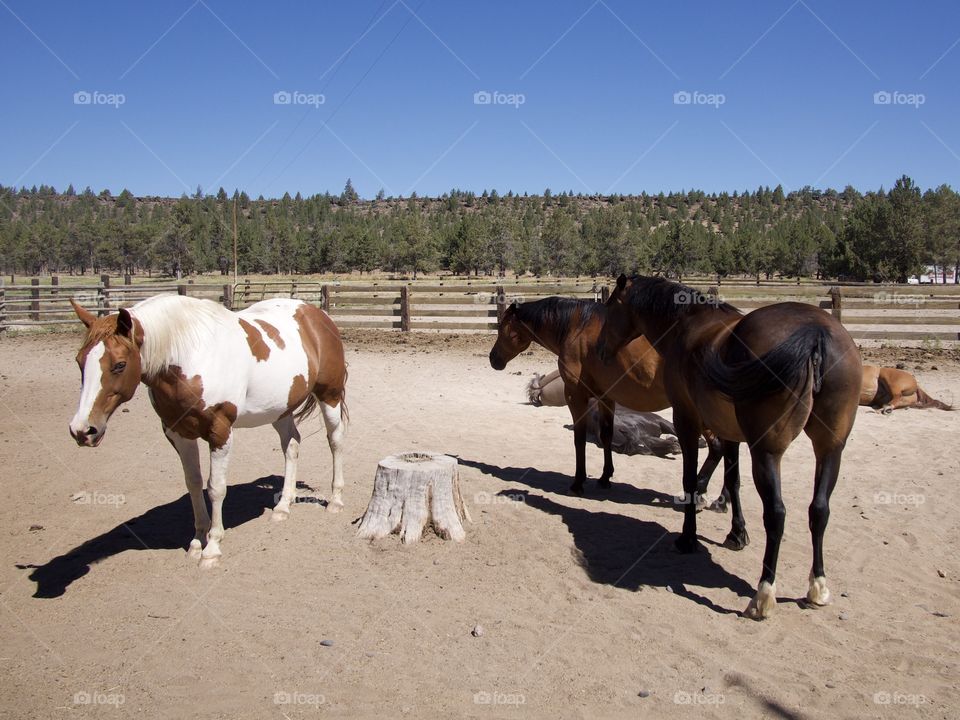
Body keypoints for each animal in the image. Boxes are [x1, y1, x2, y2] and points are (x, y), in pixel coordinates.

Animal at [70, 294, 348, 568]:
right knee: (291, 444)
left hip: (329, 396)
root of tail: (315, 314)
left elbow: (216, 488)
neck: (190, 356)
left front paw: (212, 547)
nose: (82, 429)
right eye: (79, 361)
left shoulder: (220, 432)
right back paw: (283, 506)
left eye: (119, 365)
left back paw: (335, 501)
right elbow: (193, 483)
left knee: (335, 441)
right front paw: (197, 541)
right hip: (279, 408)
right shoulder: (179, 434)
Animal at [492, 296, 724, 504]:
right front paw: (605, 478)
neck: (576, 328)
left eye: (502, 328)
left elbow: (579, 439)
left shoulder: (575, 396)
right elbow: (605, 436)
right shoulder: (605, 398)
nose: (493, 359)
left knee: (718, 447)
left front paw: (578, 483)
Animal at [600, 276, 864, 620]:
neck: (688, 324)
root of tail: (816, 332)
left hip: (767, 452)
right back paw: (817, 587)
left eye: (610, 308)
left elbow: (690, 479)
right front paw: (736, 534)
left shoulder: (686, 419)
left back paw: (763, 595)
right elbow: (733, 481)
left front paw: (688, 538)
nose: (601, 348)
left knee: (776, 514)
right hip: (830, 448)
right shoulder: (729, 432)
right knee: (819, 510)